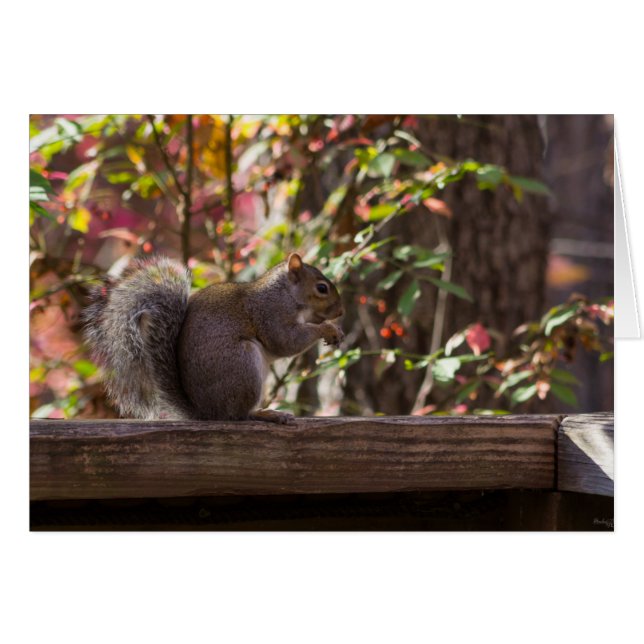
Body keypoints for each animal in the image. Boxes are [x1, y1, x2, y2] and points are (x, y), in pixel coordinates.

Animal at [82, 253, 344, 423]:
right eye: (322, 288)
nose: (341, 313)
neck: (286, 293)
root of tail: (206, 412)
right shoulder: (271, 314)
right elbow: (285, 341)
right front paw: (327, 329)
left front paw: (335, 330)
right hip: (243, 364)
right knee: (237, 415)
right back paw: (264, 413)